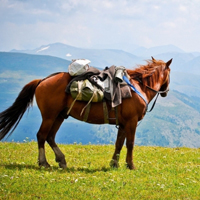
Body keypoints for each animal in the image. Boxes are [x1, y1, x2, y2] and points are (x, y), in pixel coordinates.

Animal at [0, 57, 172, 170]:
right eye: (170, 73)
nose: (165, 92)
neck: (139, 87)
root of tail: (42, 80)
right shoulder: (132, 121)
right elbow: (130, 143)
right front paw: (130, 165)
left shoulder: (123, 124)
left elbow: (119, 143)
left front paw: (114, 164)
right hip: (49, 116)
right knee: (41, 136)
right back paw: (44, 162)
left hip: (60, 116)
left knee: (50, 137)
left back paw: (61, 160)